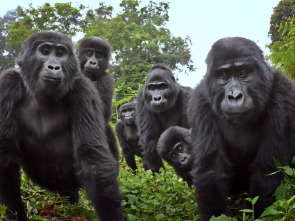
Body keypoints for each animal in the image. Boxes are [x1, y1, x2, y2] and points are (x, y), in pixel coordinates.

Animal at [0, 31, 123, 221]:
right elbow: (5, 155)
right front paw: (15, 213)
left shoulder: (85, 89)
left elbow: (92, 159)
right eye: (45, 51)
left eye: (60, 53)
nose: (54, 67)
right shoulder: (7, 84)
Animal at [188, 36, 295, 221]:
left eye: (244, 73)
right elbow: (212, 170)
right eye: (224, 75)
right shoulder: (199, 102)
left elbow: (268, 168)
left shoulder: (284, 96)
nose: (234, 96)